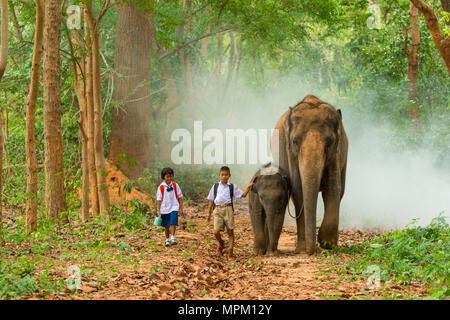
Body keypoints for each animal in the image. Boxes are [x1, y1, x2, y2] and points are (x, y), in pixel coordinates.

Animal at [270, 95, 348, 255]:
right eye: (295, 141)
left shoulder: (336, 154)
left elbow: (333, 189)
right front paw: (301, 249)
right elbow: (298, 190)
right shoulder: (290, 154)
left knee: (341, 190)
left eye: (330, 142)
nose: (311, 251)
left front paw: (327, 244)